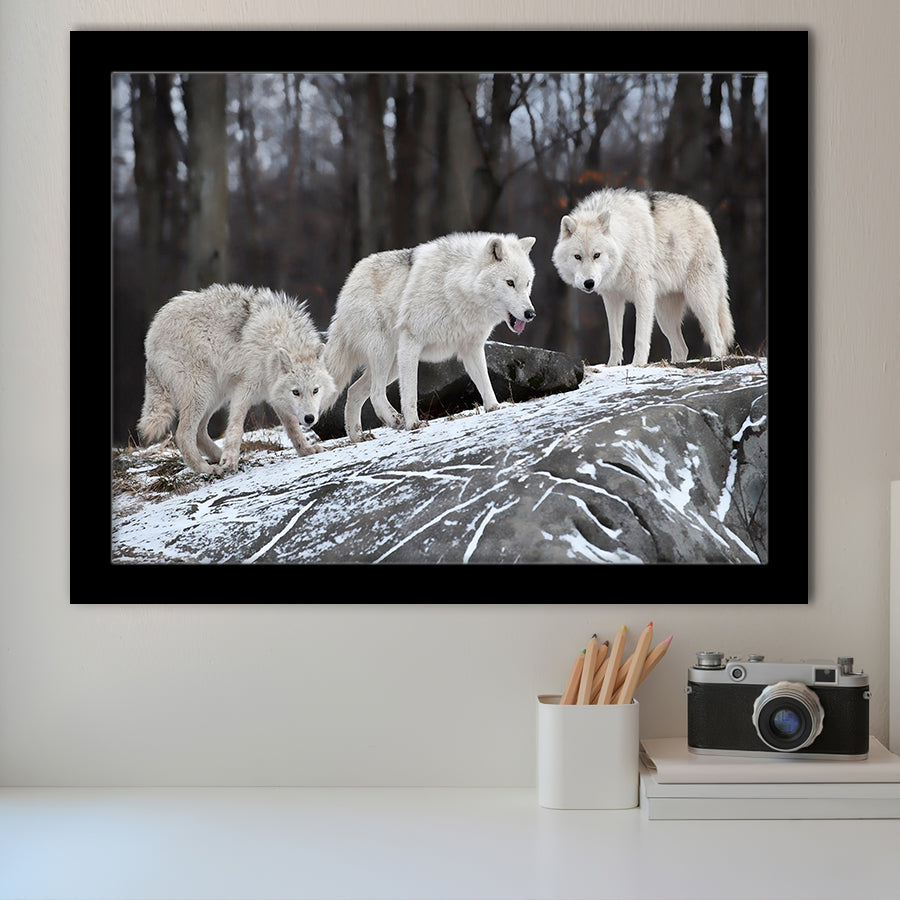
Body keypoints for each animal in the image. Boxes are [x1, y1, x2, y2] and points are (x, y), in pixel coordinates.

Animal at [138, 283, 336, 475]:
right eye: (296, 392)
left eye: (315, 390)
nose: (310, 418)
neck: (274, 342)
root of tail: (151, 334)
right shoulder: (244, 388)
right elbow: (236, 428)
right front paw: (230, 460)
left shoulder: (274, 393)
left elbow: (293, 427)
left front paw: (306, 450)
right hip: (202, 392)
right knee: (183, 435)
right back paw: (207, 469)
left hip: (215, 395)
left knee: (199, 433)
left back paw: (219, 457)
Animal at [323, 232, 537, 441]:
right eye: (510, 283)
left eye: (527, 283)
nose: (530, 313)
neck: (455, 286)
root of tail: (350, 280)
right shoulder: (411, 343)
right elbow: (410, 393)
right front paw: (413, 424)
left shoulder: (472, 349)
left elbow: (485, 382)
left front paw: (494, 408)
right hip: (385, 353)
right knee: (375, 393)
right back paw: (394, 420)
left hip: (393, 363)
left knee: (354, 391)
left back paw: (357, 436)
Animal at [552, 188, 735, 366]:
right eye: (577, 257)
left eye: (596, 255)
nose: (589, 283)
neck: (624, 244)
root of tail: (703, 212)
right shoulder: (612, 298)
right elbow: (615, 339)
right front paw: (612, 366)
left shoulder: (643, 293)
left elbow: (640, 338)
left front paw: (637, 364)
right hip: (664, 315)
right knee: (682, 348)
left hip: (698, 299)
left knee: (717, 338)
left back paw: (715, 360)